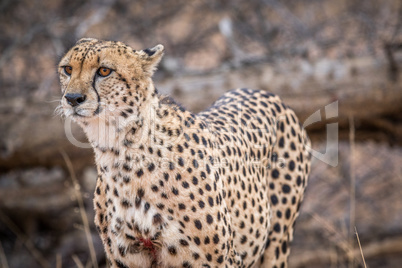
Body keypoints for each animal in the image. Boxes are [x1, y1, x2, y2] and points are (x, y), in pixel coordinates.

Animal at [59, 38, 310, 268]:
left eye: (104, 71)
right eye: (67, 69)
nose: (72, 99)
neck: (119, 152)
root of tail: (260, 90)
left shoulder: (222, 259)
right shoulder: (127, 258)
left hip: (277, 243)